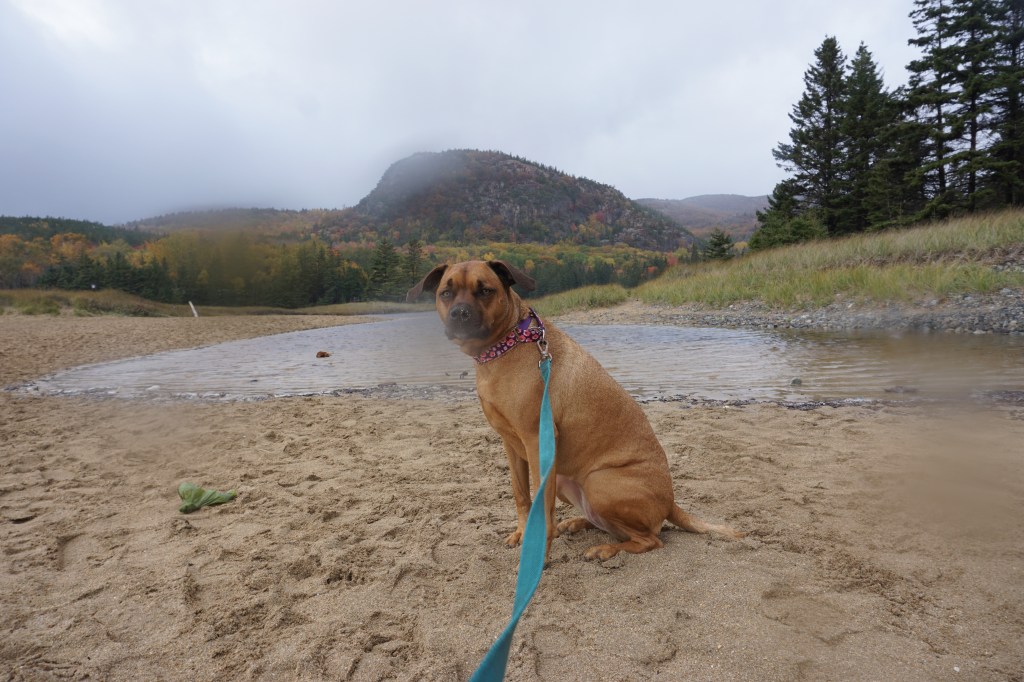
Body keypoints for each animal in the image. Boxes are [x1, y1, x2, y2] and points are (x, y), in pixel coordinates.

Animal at [408, 260, 741, 560]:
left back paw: (606, 549)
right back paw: (577, 523)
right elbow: (520, 494)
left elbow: (541, 509)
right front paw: (522, 533)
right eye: (446, 293)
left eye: (486, 290)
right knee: (614, 526)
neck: (505, 344)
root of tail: (671, 501)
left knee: (651, 539)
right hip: (567, 483)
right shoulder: (511, 445)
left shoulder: (537, 441)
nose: (460, 314)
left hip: (599, 483)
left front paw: (539, 553)